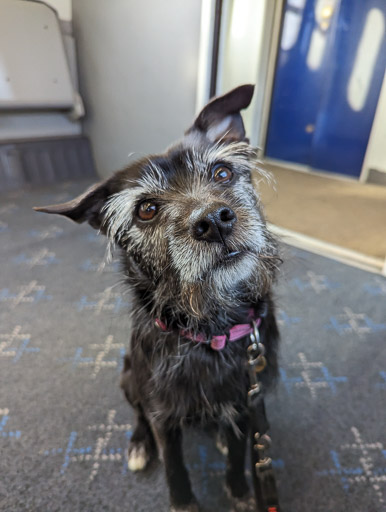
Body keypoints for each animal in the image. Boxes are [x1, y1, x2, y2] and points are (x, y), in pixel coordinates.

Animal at [35, 86, 280, 510]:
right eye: (146, 209)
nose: (213, 220)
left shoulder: (246, 399)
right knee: (137, 417)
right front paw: (184, 502)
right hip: (127, 376)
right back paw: (137, 444)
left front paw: (240, 492)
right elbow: (174, 465)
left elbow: (237, 453)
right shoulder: (163, 415)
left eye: (222, 172)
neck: (211, 332)